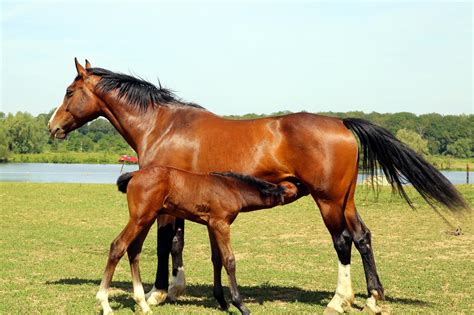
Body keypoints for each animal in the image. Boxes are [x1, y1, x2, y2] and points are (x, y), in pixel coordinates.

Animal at [96, 167, 296, 314]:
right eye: (294, 186)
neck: (231, 188)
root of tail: (134, 174)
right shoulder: (221, 224)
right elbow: (229, 260)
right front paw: (240, 305)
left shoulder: (212, 225)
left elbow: (217, 260)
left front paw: (222, 301)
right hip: (139, 218)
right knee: (118, 246)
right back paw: (105, 304)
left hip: (147, 218)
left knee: (134, 250)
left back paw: (143, 304)